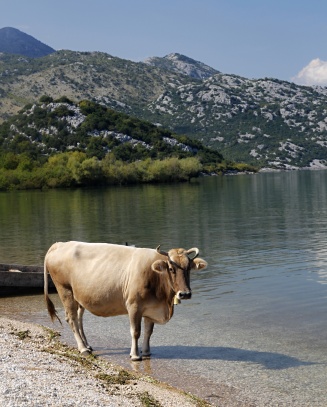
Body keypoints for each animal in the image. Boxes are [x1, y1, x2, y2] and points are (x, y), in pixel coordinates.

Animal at [44, 241, 208, 362]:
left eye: (188, 268)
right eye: (171, 268)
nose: (185, 294)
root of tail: (59, 244)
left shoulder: (151, 308)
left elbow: (148, 332)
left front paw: (146, 352)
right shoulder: (134, 306)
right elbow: (136, 332)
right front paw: (135, 355)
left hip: (79, 296)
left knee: (79, 318)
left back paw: (87, 344)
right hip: (65, 290)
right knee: (71, 318)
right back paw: (83, 348)